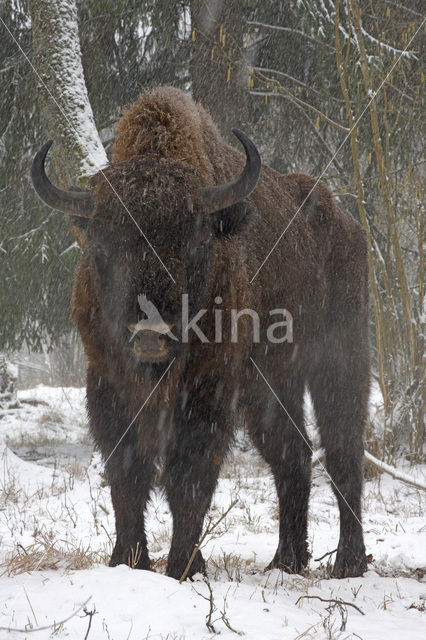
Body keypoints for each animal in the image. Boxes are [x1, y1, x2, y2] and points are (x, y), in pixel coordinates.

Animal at [30, 85, 370, 580]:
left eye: (197, 240)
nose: (150, 332)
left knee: (344, 450)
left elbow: (187, 475)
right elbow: (127, 471)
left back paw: (348, 562)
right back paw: (286, 561)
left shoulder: (209, 385)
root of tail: (346, 225)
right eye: (103, 246)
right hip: (269, 385)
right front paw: (127, 561)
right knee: (295, 452)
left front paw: (184, 567)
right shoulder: (107, 381)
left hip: (340, 361)